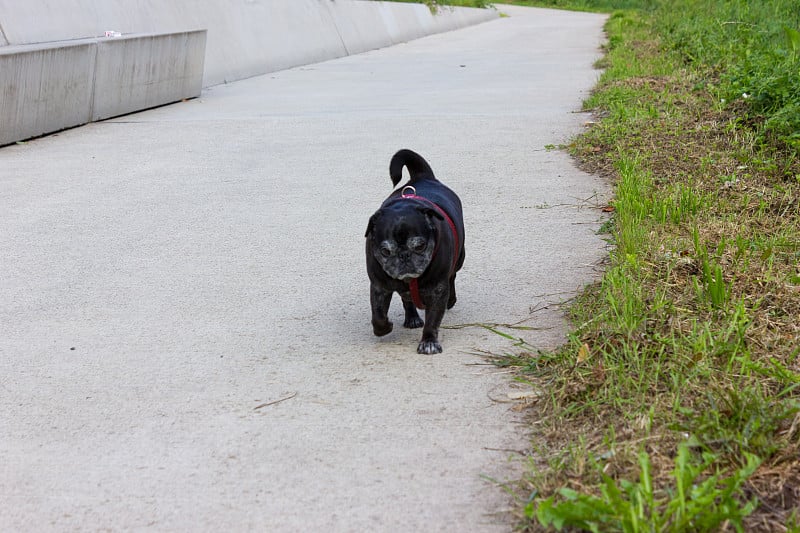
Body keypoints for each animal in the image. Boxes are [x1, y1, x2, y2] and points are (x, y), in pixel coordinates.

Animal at [366, 149, 466, 354]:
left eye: (420, 246)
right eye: (385, 251)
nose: (404, 256)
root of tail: (422, 176)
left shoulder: (437, 290)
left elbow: (433, 320)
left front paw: (428, 341)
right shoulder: (379, 287)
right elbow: (378, 315)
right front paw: (384, 327)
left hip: (460, 258)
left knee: (452, 277)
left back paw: (451, 300)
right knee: (408, 300)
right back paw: (412, 318)